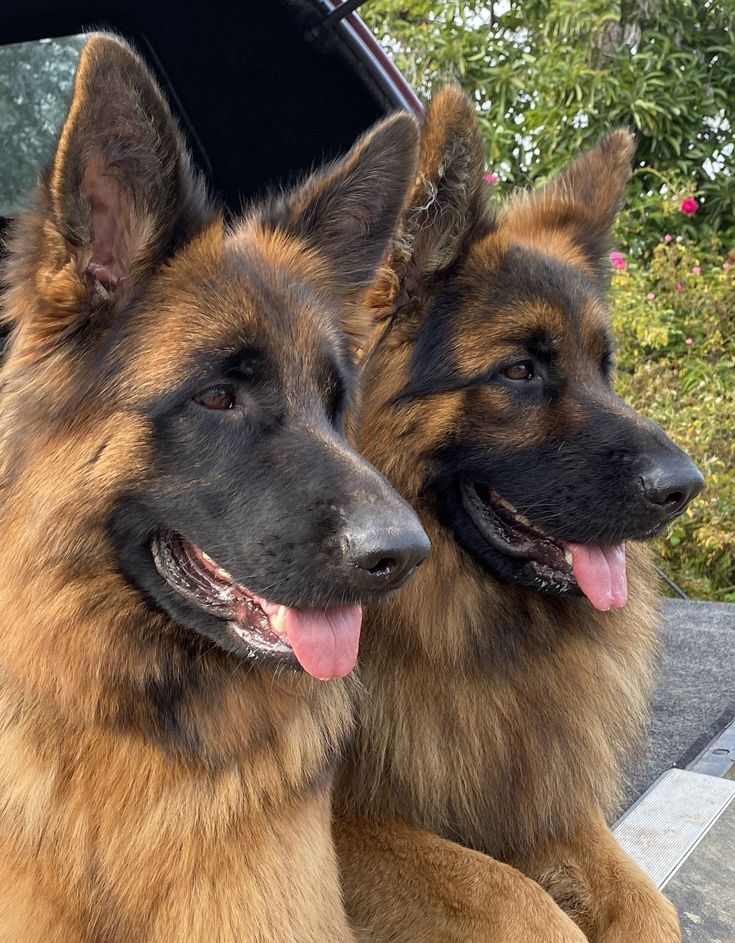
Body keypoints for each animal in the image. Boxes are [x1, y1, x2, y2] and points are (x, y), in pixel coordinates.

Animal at [336, 85, 704, 940]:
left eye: (604, 367)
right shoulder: (343, 825)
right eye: (519, 370)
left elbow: (647, 905)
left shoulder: (535, 790)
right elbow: (518, 902)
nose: (686, 487)